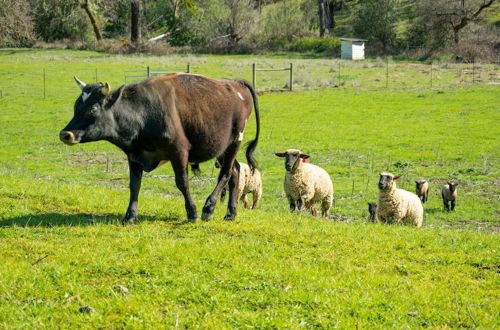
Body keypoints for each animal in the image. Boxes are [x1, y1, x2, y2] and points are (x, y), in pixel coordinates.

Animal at [60, 74, 260, 224]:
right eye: (76, 106)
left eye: (93, 108)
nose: (65, 134)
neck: (142, 113)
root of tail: (234, 83)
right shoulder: (134, 155)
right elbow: (134, 185)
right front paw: (130, 216)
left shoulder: (179, 152)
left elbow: (182, 183)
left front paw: (192, 212)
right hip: (221, 148)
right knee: (235, 172)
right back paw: (231, 213)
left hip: (234, 142)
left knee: (225, 174)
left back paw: (208, 208)